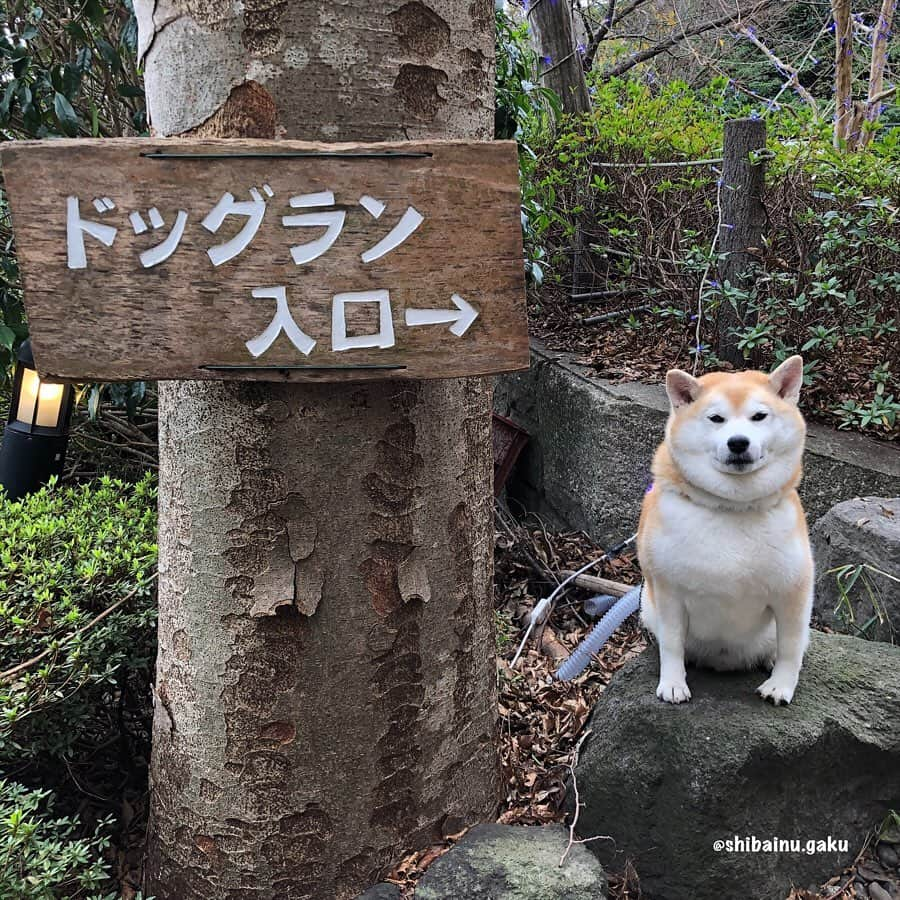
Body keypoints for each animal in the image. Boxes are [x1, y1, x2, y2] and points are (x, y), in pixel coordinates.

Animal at [636, 356, 812, 708]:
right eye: (716, 419)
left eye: (759, 416)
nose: (738, 442)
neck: (733, 507)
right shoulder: (669, 593)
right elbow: (671, 644)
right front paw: (673, 683)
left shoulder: (793, 593)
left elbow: (790, 649)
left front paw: (781, 686)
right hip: (648, 606)